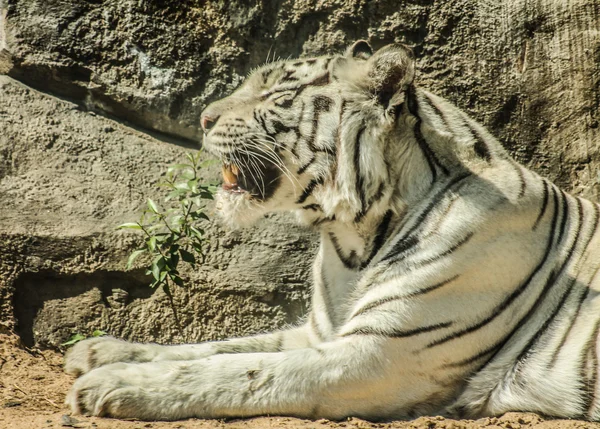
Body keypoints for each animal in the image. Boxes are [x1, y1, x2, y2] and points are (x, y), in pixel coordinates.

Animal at [64, 41, 600, 422]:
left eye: (279, 97)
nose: (204, 118)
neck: (351, 236)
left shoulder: (379, 354)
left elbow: (244, 371)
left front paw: (115, 383)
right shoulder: (318, 331)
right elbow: (216, 347)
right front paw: (101, 350)